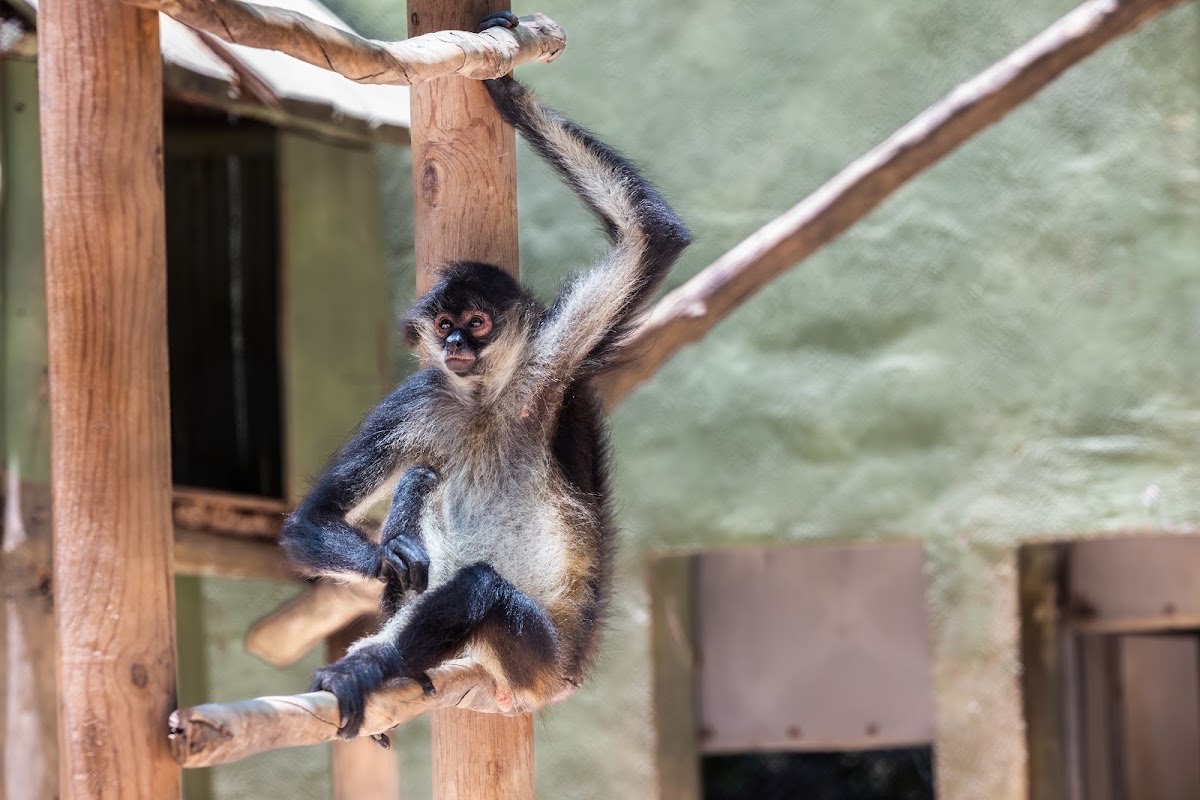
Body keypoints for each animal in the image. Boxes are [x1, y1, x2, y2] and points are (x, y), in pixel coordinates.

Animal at [279, 10, 692, 741]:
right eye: (444, 323)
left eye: (475, 322)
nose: (452, 343)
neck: (481, 400)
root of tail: (562, 670)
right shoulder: (422, 395)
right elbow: (310, 520)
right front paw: (386, 558)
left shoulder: (551, 360)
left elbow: (653, 234)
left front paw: (506, 83)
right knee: (424, 499)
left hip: (533, 651)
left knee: (479, 588)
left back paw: (369, 664)